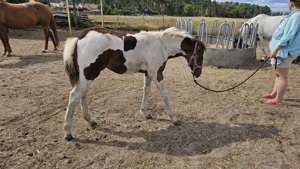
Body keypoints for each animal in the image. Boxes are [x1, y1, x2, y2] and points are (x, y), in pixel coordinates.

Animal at [62, 26, 205, 140]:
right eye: (200, 55)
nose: (198, 73)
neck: (160, 45)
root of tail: (79, 38)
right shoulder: (156, 73)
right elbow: (165, 93)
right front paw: (174, 118)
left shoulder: (148, 73)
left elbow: (146, 90)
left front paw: (145, 112)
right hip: (89, 74)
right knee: (74, 96)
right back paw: (68, 132)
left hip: (87, 76)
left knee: (83, 94)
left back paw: (90, 121)